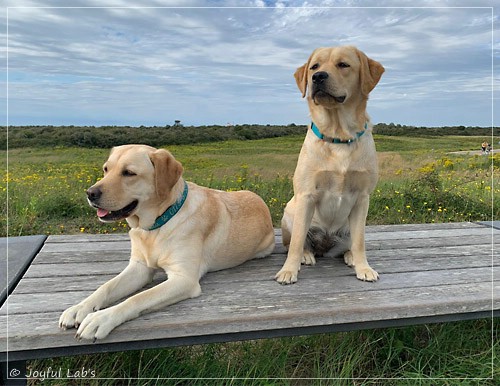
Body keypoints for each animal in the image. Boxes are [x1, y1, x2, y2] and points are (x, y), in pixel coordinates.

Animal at [61, 146, 278, 340]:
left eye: (129, 173)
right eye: (106, 169)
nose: (90, 193)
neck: (155, 226)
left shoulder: (183, 279)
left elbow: (137, 298)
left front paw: (101, 318)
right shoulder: (139, 268)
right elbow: (105, 287)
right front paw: (80, 308)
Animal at [276, 46, 384, 286]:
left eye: (343, 64)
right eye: (314, 66)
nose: (318, 77)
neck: (339, 136)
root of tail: (325, 244)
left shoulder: (362, 198)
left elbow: (360, 242)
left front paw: (364, 267)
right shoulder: (306, 194)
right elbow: (296, 242)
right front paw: (289, 270)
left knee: (351, 243)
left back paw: (350, 256)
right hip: (291, 212)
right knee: (296, 242)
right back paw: (306, 255)